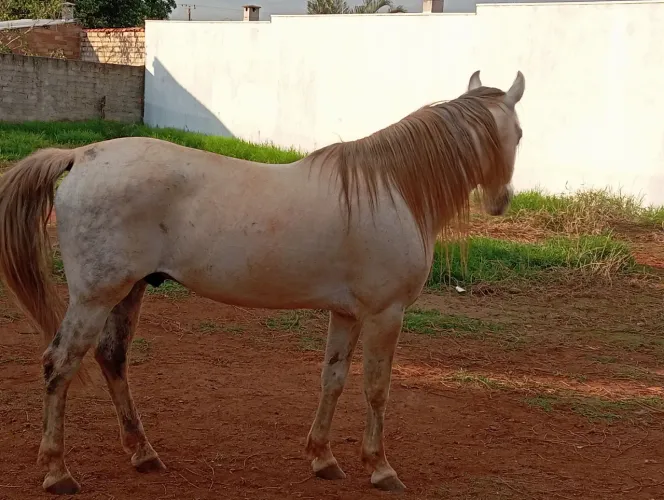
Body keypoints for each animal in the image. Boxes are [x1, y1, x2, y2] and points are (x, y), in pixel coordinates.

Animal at [0, 70, 525, 495]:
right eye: (518, 133)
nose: (501, 201)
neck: (392, 189)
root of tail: (81, 157)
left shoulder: (347, 314)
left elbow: (333, 379)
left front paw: (323, 458)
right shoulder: (385, 314)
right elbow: (376, 389)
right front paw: (379, 468)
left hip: (128, 291)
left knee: (112, 359)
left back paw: (143, 453)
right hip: (94, 298)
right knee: (60, 364)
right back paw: (57, 471)